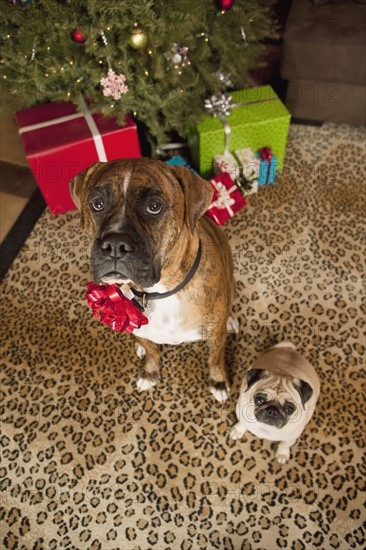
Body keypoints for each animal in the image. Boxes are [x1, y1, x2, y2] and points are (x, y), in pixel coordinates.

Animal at [70, 157, 236, 404]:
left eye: (154, 206)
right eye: (97, 203)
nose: (114, 245)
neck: (159, 291)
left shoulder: (215, 337)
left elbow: (215, 359)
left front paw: (218, 382)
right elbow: (152, 352)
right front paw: (149, 372)